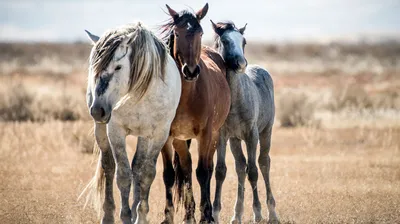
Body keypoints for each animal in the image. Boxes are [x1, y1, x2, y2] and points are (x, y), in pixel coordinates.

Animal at [81, 23, 181, 224]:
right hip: (101, 130)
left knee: (138, 166)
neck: (139, 94)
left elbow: (146, 173)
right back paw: (108, 215)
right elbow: (123, 175)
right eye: (94, 68)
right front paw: (126, 215)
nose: (98, 110)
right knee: (109, 166)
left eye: (118, 67)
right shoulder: (115, 131)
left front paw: (140, 215)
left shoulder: (159, 133)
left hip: (144, 135)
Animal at [158, 3, 230, 224]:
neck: (187, 96)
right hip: (180, 140)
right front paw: (168, 216)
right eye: (177, 33)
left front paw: (206, 215)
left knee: (207, 167)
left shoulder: (205, 134)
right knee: (186, 168)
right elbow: (170, 174)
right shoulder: (167, 136)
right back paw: (188, 214)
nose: (190, 71)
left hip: (214, 135)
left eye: (200, 32)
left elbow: (203, 173)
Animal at [211, 20, 280, 223]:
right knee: (240, 167)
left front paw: (258, 213)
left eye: (244, 41)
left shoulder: (252, 135)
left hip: (266, 132)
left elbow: (254, 171)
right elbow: (221, 171)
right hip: (235, 140)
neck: (234, 100)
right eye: (225, 41)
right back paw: (237, 214)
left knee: (263, 163)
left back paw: (272, 212)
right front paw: (215, 213)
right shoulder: (222, 135)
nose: (241, 63)